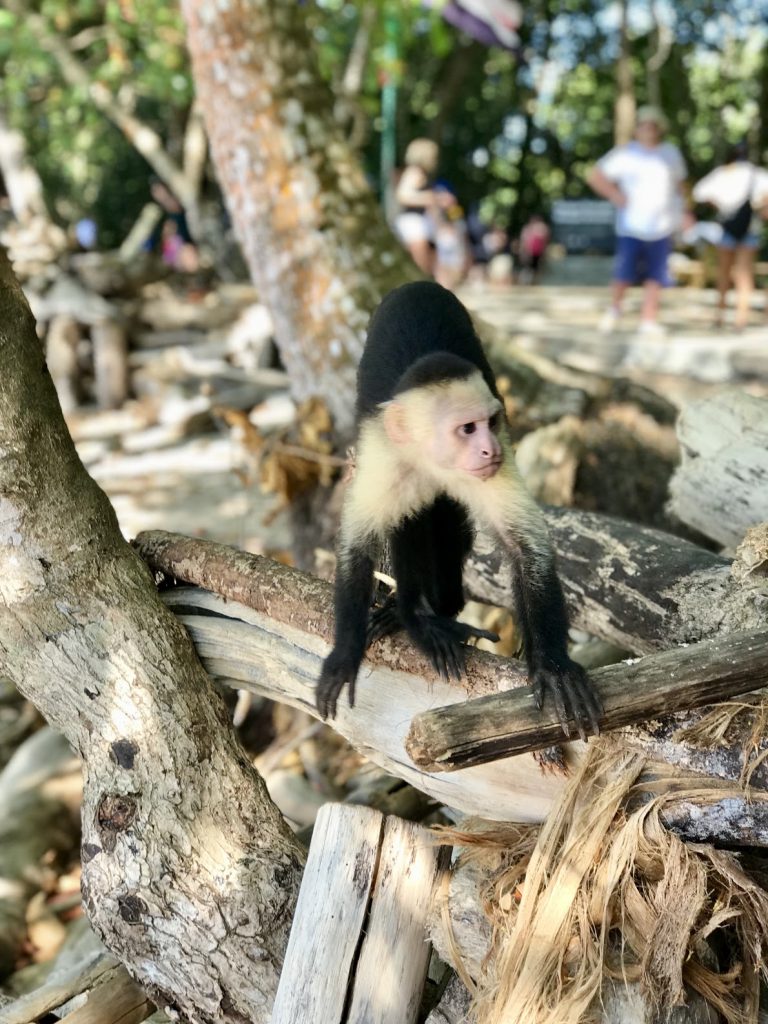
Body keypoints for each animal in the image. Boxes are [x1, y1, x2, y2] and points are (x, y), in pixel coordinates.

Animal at [315, 280, 606, 741]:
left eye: (489, 422)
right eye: (467, 429)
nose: (489, 448)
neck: (434, 460)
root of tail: (418, 282)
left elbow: (526, 549)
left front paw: (553, 665)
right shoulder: (385, 457)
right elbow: (357, 549)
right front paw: (346, 652)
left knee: (450, 530)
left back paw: (441, 609)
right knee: (413, 520)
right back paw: (411, 615)